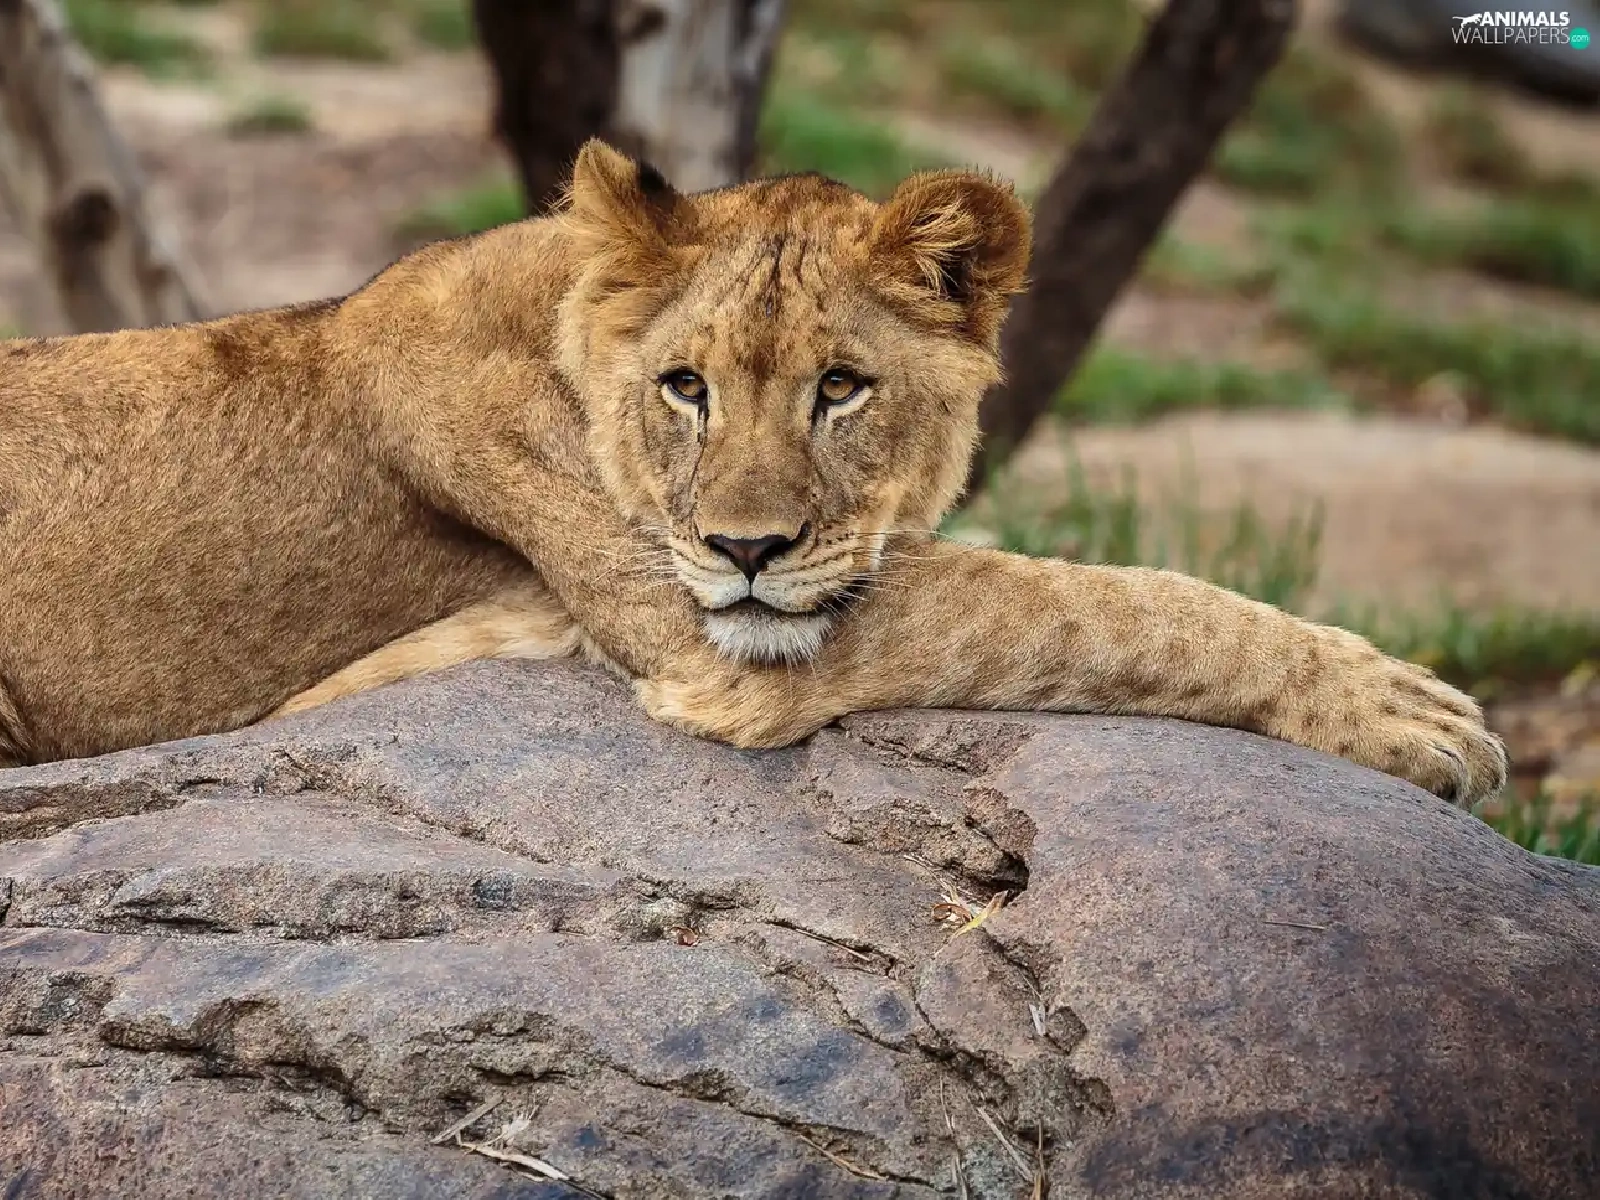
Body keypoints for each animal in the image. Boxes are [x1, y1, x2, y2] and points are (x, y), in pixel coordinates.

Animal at [0, 139, 1506, 806]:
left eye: (841, 387)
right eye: (689, 388)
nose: (745, 550)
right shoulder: (705, 641)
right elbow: (1078, 601)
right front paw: (1403, 707)